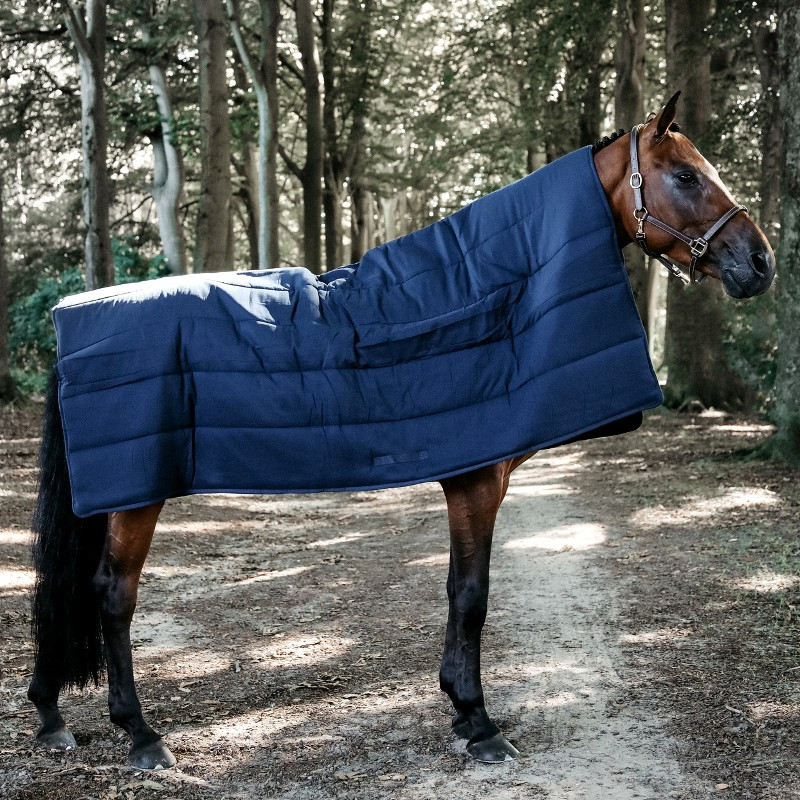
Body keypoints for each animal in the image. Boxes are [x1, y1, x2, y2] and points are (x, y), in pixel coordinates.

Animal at [27, 92, 775, 770]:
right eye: (686, 176)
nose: (761, 261)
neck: (483, 287)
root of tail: (72, 318)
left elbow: (454, 589)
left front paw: (460, 708)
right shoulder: (476, 480)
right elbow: (471, 596)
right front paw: (480, 724)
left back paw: (51, 716)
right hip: (136, 496)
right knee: (112, 594)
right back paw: (141, 735)